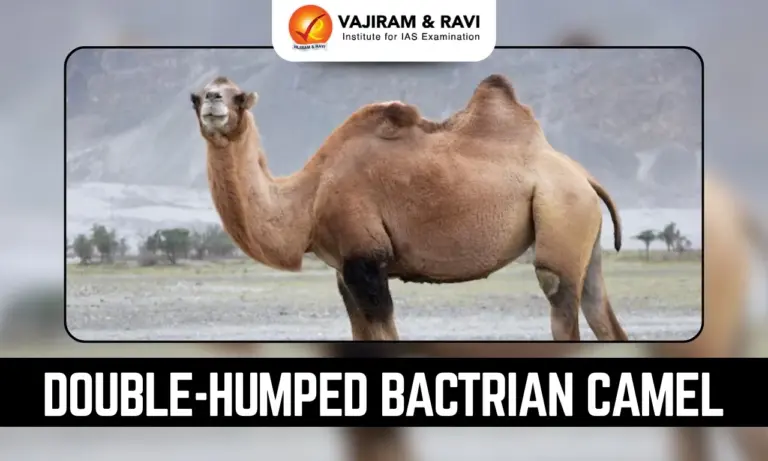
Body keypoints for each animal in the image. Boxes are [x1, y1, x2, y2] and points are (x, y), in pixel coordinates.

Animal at [191, 73, 628, 342]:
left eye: (238, 98)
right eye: (197, 96)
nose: (212, 101)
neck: (309, 198)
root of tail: (583, 175)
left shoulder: (367, 261)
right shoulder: (344, 270)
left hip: (562, 210)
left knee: (558, 293)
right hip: (583, 231)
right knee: (598, 307)